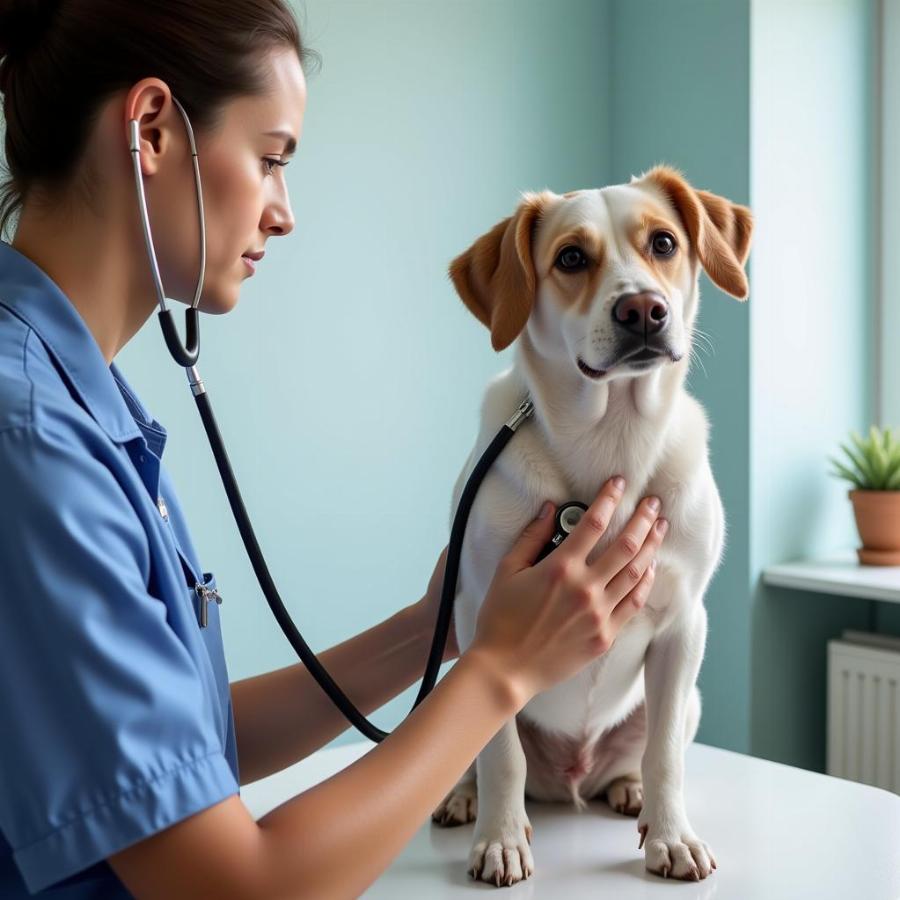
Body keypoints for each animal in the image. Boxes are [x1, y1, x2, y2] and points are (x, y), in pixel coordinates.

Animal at [432, 163, 756, 884]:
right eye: (571, 258)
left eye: (664, 243)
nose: (643, 310)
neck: (614, 439)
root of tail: (569, 781)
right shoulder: (479, 617)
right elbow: (499, 755)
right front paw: (500, 839)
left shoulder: (685, 624)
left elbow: (666, 756)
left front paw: (671, 837)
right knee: (479, 756)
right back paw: (463, 798)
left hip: (685, 700)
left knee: (649, 750)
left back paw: (626, 788)